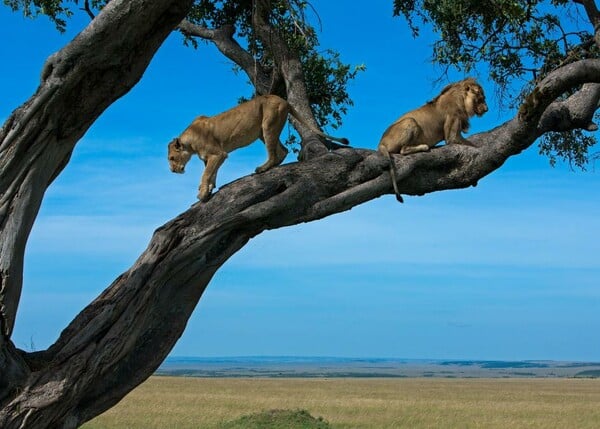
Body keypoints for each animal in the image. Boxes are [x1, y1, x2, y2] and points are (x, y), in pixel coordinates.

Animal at [166, 93, 350, 201]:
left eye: (172, 158)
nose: (172, 171)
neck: (190, 143)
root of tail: (284, 100)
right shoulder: (210, 158)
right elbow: (211, 173)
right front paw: (209, 189)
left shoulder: (218, 154)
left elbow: (206, 174)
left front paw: (202, 193)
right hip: (263, 131)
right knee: (282, 150)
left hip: (268, 124)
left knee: (274, 152)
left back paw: (263, 168)